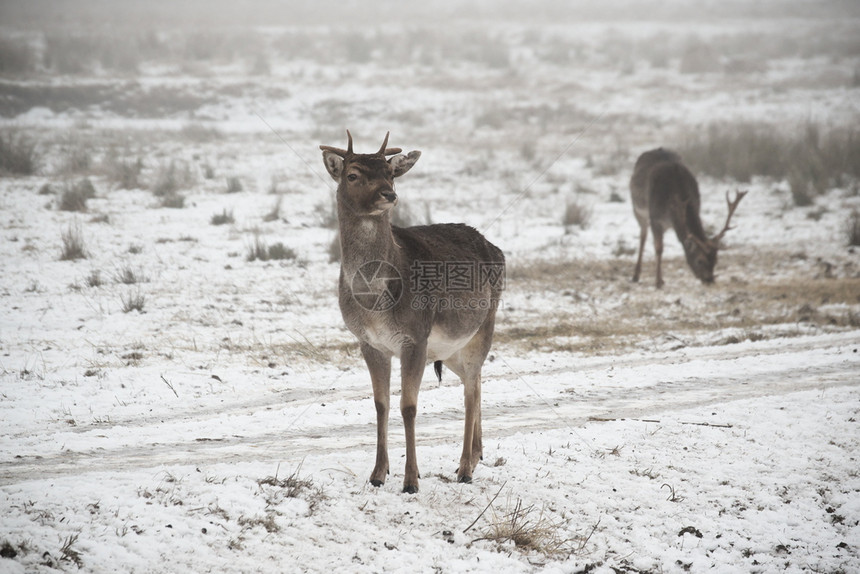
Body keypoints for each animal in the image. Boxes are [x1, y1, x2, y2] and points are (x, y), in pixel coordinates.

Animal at [320, 132, 504, 496]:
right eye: (353, 174)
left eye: (390, 173)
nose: (389, 194)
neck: (374, 301)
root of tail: (497, 249)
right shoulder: (369, 342)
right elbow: (381, 404)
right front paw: (378, 473)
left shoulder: (415, 336)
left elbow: (408, 406)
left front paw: (410, 480)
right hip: (451, 349)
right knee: (475, 381)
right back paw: (476, 456)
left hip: (484, 326)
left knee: (471, 392)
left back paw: (465, 467)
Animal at [628, 148, 748, 290]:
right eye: (699, 260)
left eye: (716, 259)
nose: (709, 280)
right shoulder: (655, 218)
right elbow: (659, 249)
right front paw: (657, 282)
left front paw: (660, 280)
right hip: (637, 211)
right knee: (643, 237)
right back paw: (635, 276)